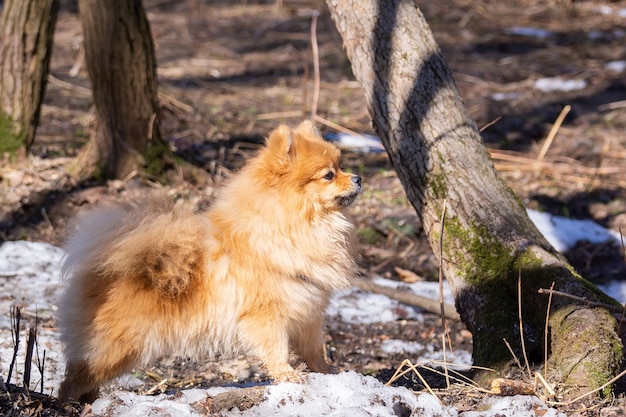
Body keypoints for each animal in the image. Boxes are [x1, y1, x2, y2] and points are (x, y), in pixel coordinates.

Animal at [59, 121, 360, 404]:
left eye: (341, 166)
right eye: (328, 175)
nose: (358, 178)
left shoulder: (309, 312)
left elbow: (314, 350)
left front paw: (327, 371)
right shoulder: (266, 316)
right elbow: (277, 349)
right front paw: (288, 375)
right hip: (115, 348)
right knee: (75, 376)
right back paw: (67, 402)